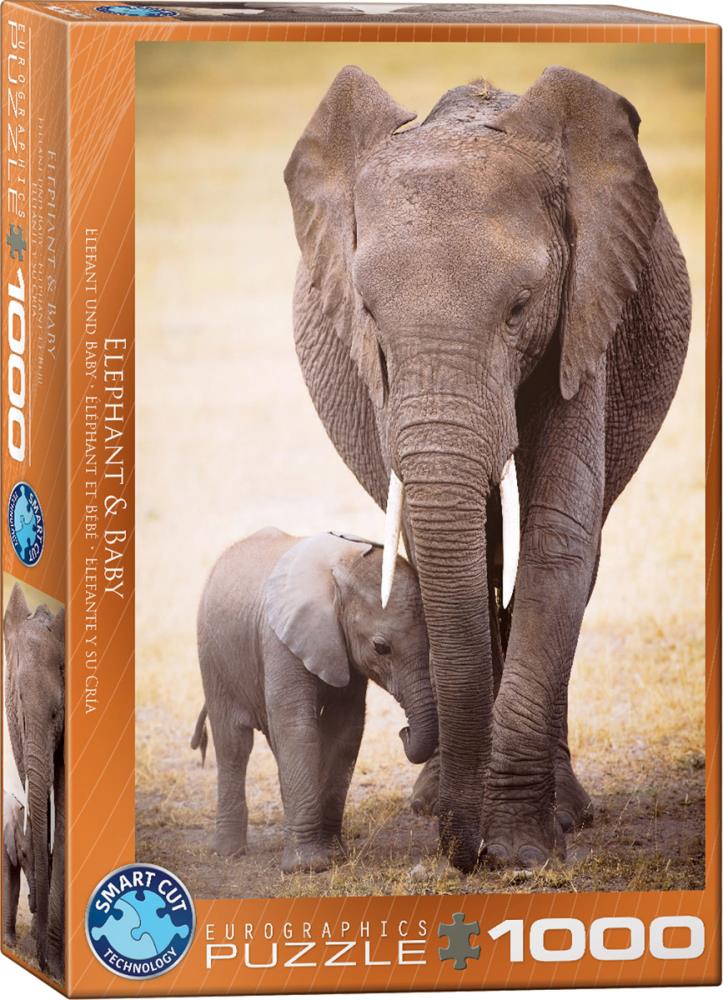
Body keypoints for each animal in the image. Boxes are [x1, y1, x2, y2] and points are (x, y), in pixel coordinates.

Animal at [191, 527, 437, 874]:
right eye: (380, 647)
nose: (404, 731)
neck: (339, 570)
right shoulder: (279, 640)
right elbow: (297, 727)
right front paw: (307, 867)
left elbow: (345, 730)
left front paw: (334, 855)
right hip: (213, 657)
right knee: (233, 744)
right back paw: (228, 852)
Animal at [284, 66, 691, 872]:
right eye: (368, 313)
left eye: (520, 307)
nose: (459, 853)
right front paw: (476, 828)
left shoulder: (586, 313)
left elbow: (557, 540)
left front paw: (522, 851)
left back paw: (565, 812)